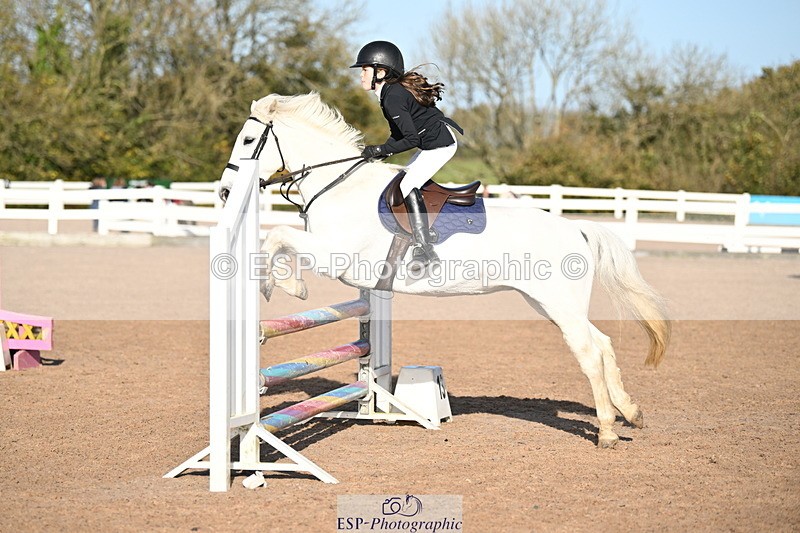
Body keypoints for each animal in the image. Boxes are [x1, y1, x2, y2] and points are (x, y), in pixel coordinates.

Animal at [219, 92, 670, 448]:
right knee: (604, 343)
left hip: (558, 303)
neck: (339, 186)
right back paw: (631, 412)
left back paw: (607, 430)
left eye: (247, 140)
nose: (224, 192)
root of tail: (575, 227)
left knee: (589, 352)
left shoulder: (335, 257)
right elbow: (279, 238)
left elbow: (277, 236)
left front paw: (286, 287)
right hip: (550, 303)